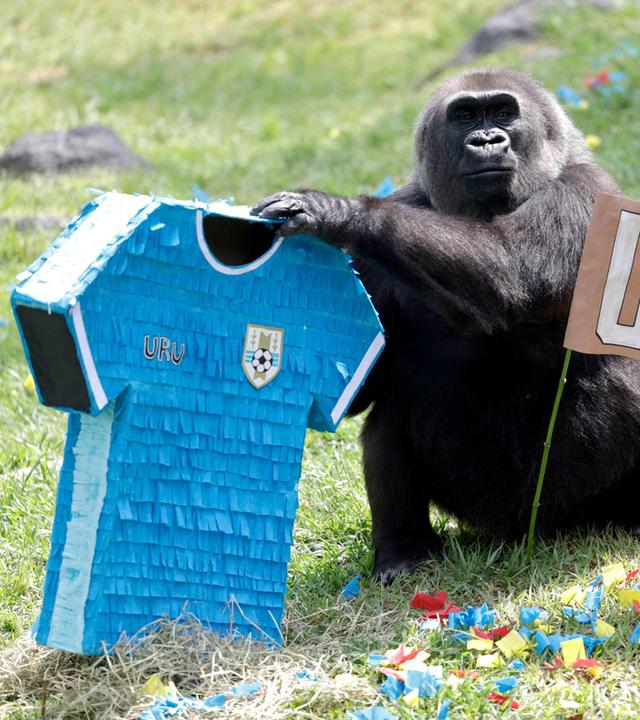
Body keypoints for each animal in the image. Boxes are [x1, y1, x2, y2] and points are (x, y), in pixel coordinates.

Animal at [252, 68, 640, 584]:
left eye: (503, 113)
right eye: (466, 117)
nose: (487, 140)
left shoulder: (584, 192)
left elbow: (511, 269)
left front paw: (337, 212)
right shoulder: (395, 226)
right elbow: (362, 390)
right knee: (390, 413)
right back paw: (404, 549)